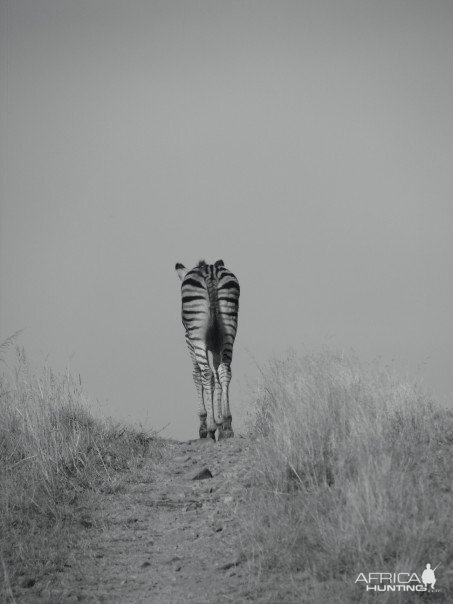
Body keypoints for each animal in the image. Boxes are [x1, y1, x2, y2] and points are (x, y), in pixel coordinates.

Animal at [174, 258, 240, 438]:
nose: (223, 424)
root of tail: (210, 271)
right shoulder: (216, 346)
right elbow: (216, 378)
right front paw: (220, 423)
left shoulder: (188, 340)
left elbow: (197, 375)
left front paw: (206, 425)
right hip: (229, 328)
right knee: (224, 371)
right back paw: (228, 425)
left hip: (196, 333)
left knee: (206, 372)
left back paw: (210, 428)